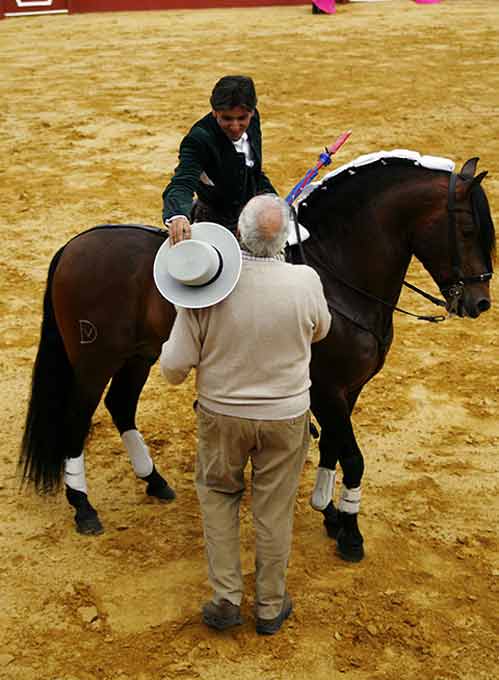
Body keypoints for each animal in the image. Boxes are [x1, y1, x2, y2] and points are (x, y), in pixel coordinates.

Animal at [19, 157, 496, 560]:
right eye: (468, 230)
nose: (479, 303)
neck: (338, 272)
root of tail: (75, 245)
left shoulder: (348, 388)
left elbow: (335, 448)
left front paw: (330, 514)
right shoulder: (327, 389)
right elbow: (352, 456)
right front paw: (351, 534)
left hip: (140, 354)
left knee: (121, 404)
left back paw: (154, 481)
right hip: (93, 361)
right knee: (77, 418)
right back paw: (83, 506)